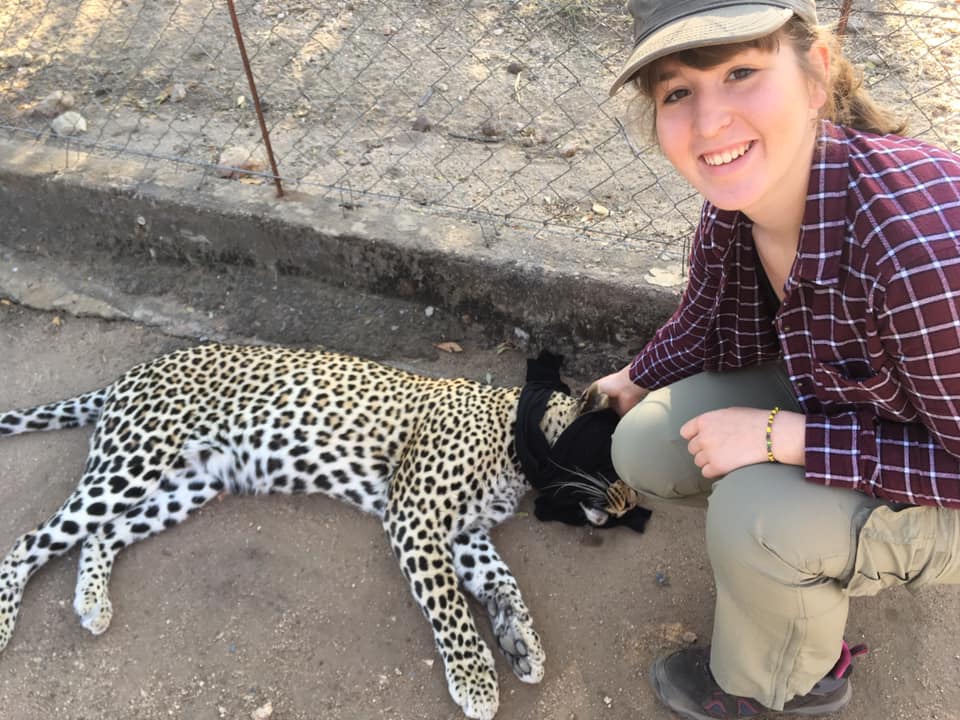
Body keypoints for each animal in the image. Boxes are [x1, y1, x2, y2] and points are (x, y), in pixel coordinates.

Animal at [0, 343, 639, 720]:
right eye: (612, 460)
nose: (633, 504)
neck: (520, 444)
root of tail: (128, 374)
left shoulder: (465, 534)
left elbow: (503, 585)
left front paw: (520, 643)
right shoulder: (416, 517)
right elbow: (452, 610)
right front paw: (476, 681)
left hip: (185, 485)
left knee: (98, 536)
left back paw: (92, 602)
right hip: (130, 464)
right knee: (29, 543)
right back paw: (5, 623)